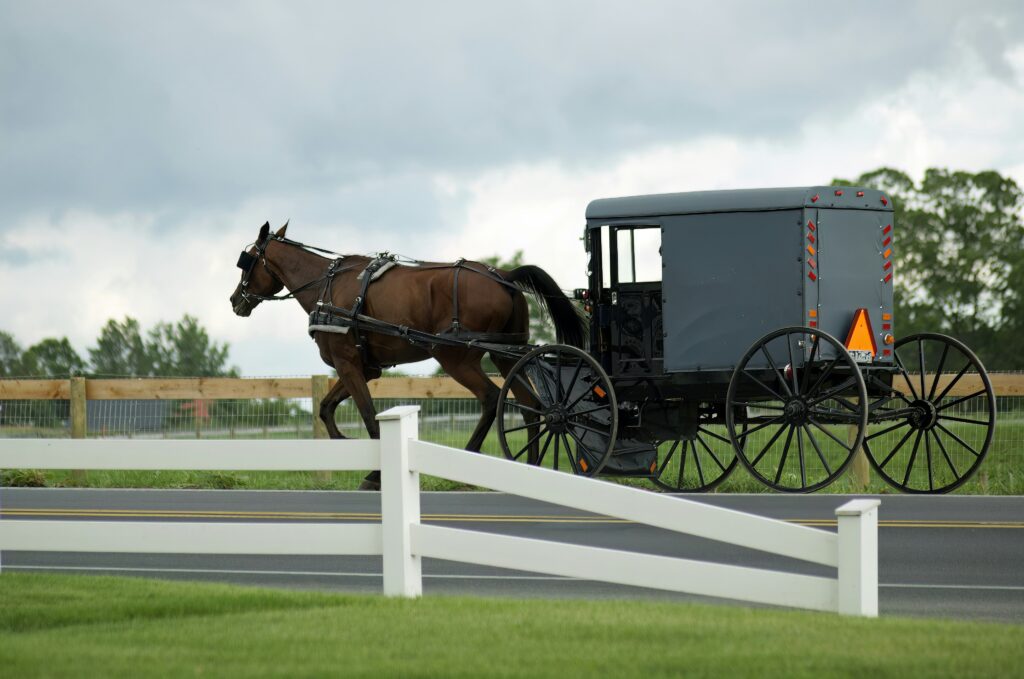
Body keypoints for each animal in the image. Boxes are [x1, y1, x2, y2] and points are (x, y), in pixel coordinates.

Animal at [229, 222, 586, 489]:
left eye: (248, 259)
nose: (235, 300)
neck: (327, 289)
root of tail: (505, 276)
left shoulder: (348, 364)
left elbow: (368, 416)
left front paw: (375, 474)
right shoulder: (364, 367)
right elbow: (327, 408)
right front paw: (344, 441)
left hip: (456, 358)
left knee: (490, 398)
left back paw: (468, 460)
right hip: (507, 355)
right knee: (530, 405)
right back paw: (531, 466)